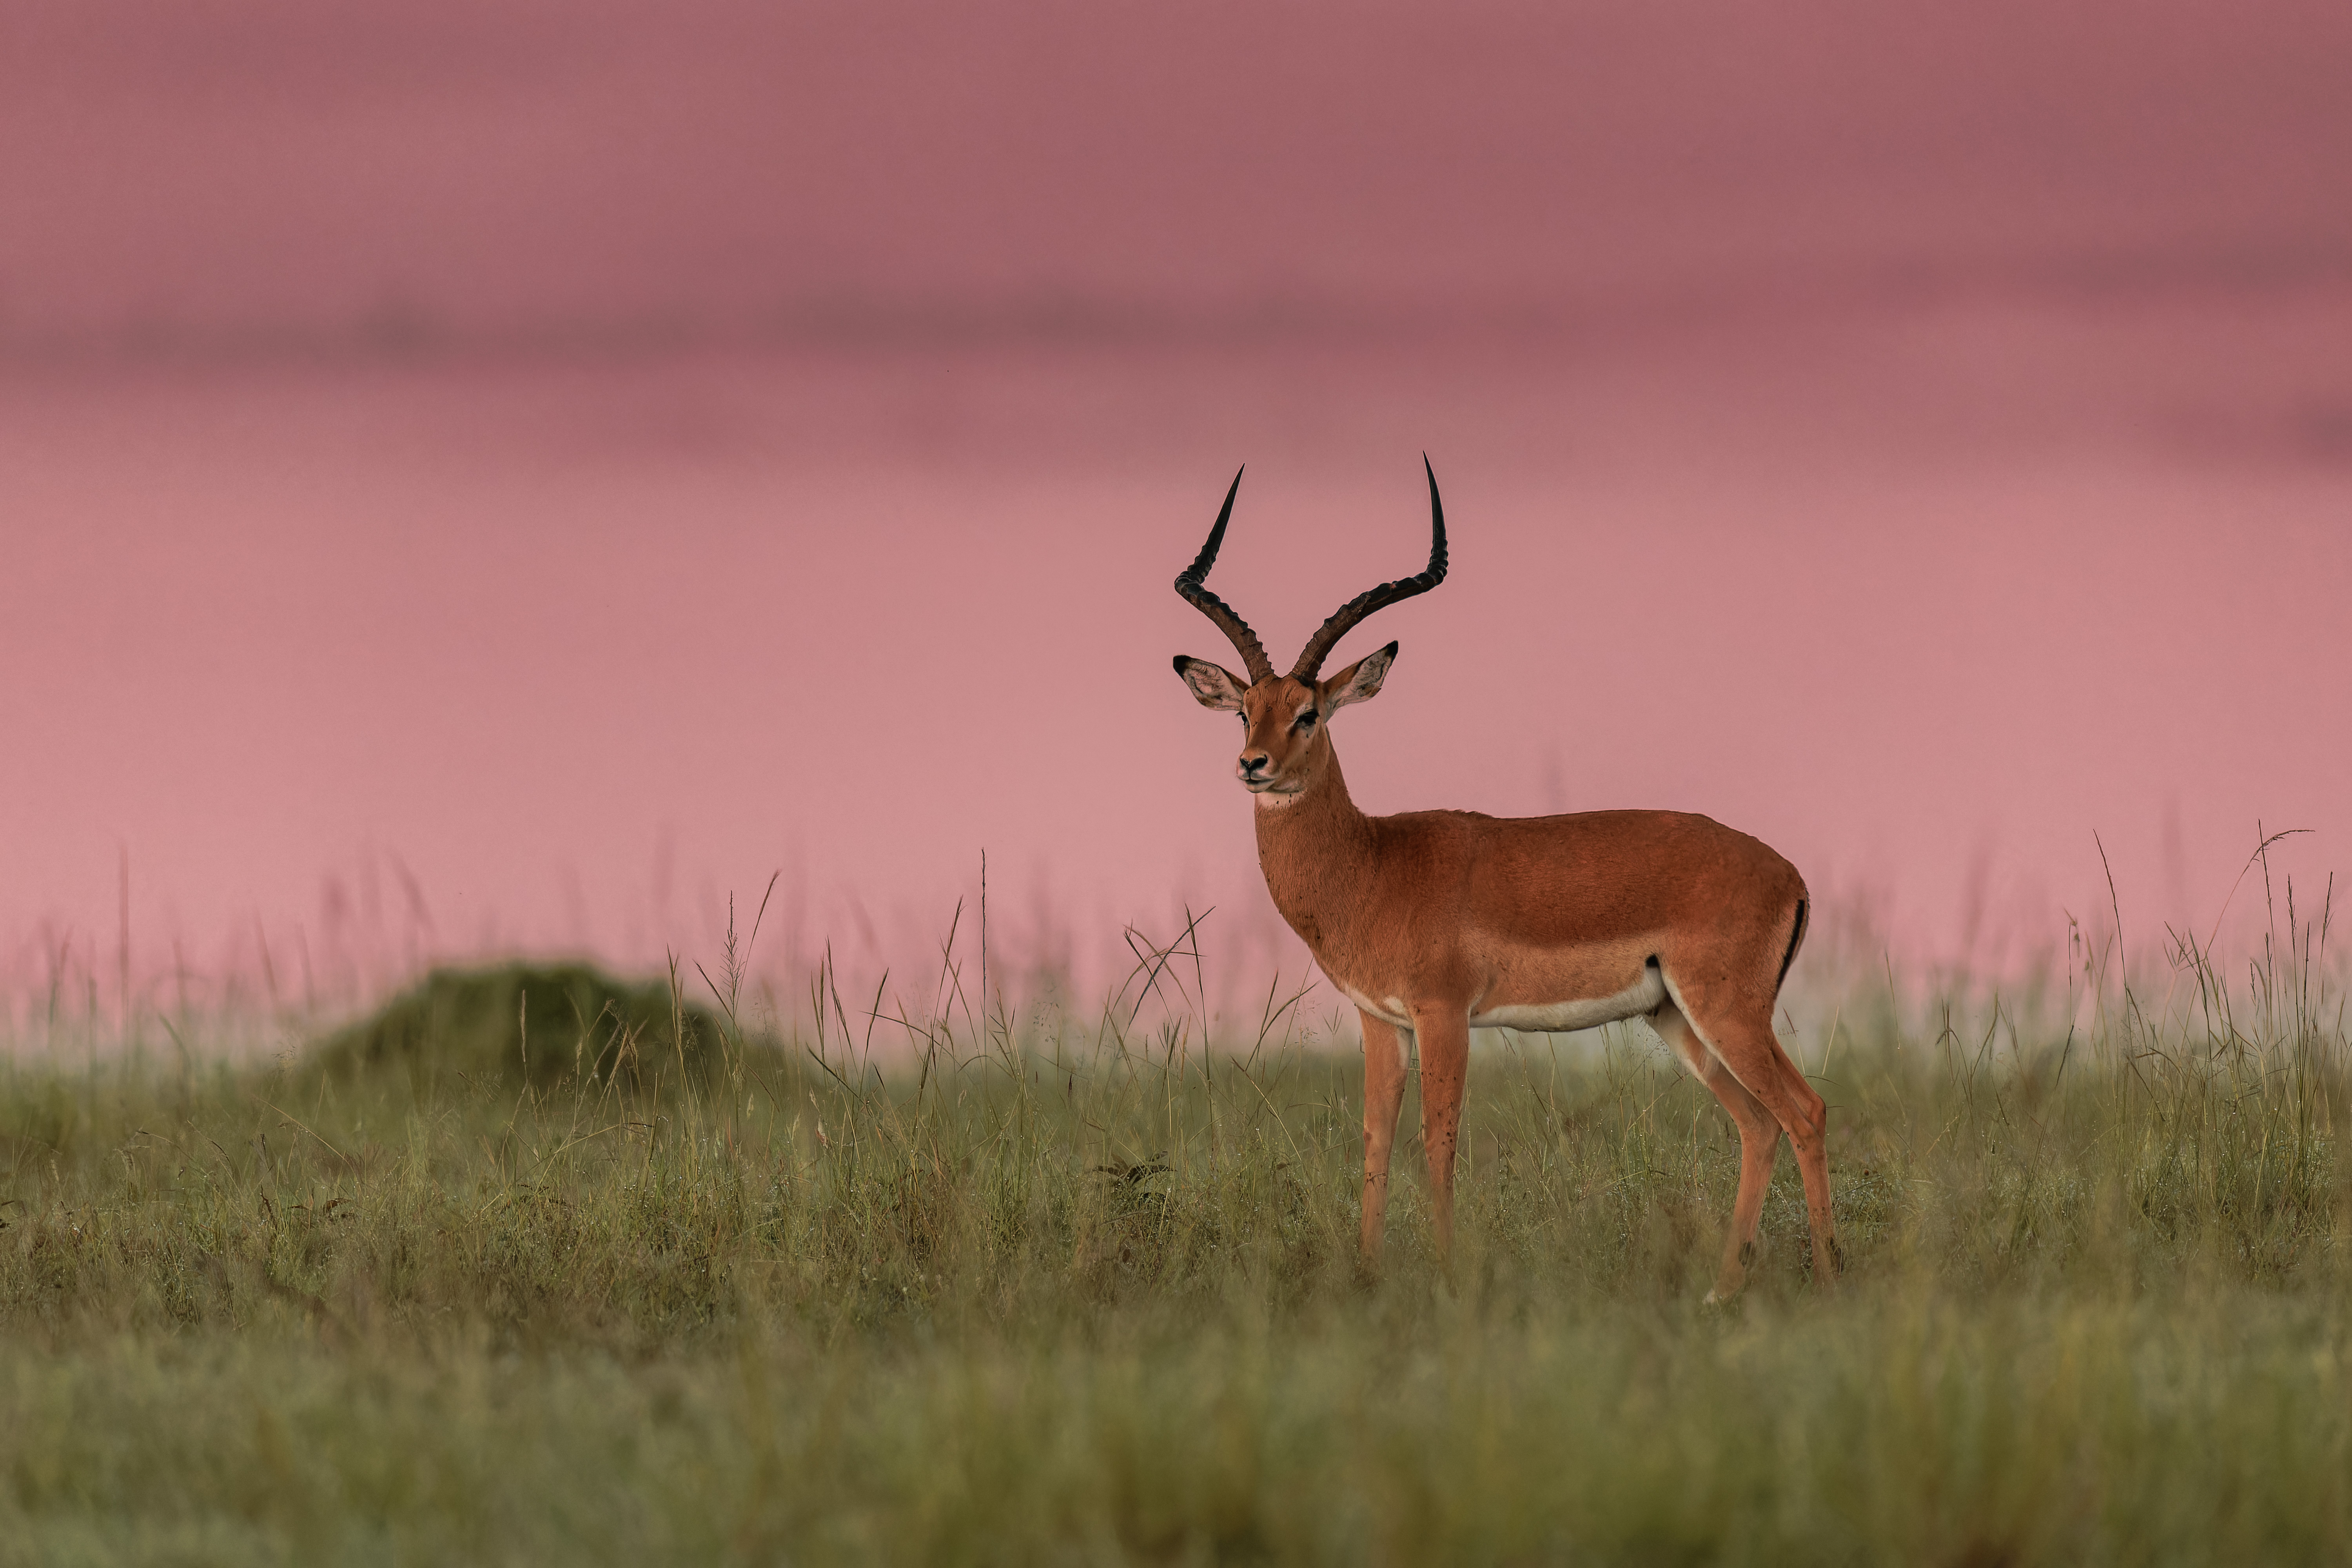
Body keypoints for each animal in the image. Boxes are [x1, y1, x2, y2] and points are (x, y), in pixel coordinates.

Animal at [1170, 461, 1838, 1299]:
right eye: (1245, 712)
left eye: (1310, 713)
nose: (1252, 765)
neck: (1372, 862)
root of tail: (1790, 873)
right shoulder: (1381, 1021)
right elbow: (1375, 1140)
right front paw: (1368, 1275)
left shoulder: (1445, 1014)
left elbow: (1440, 1139)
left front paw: (1447, 1272)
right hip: (1678, 1019)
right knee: (1758, 1124)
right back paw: (1721, 1288)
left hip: (1728, 1013)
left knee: (1806, 1111)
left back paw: (1828, 1274)